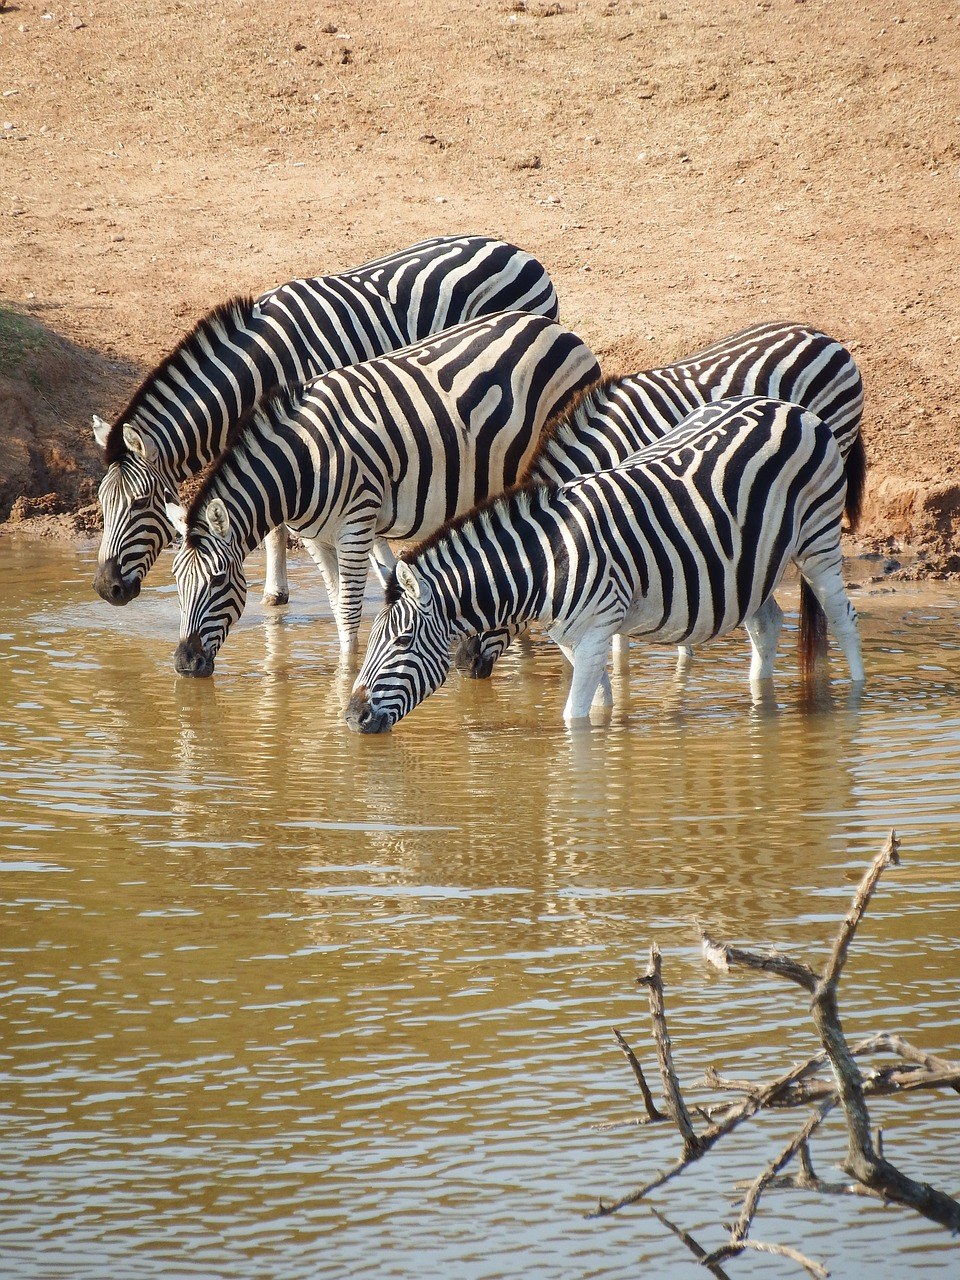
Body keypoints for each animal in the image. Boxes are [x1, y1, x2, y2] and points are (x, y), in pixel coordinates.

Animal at [90, 236, 563, 609]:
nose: (104, 589)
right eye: (101, 502)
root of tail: (519, 251)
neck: (255, 370)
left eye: (140, 504)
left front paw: (282, 590)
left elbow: (283, 525)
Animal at [165, 307, 601, 680]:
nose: (185, 663)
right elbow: (337, 607)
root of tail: (557, 329)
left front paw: (344, 677)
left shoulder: (356, 526)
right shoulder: (315, 538)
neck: (301, 463)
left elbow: (349, 610)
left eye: (218, 580)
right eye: (176, 581)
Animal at [345, 394, 865, 732]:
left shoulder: (597, 629)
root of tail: (791, 408)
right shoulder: (574, 639)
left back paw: (856, 699)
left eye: (403, 641)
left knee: (842, 619)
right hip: (750, 565)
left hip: (818, 539)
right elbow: (598, 707)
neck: (546, 559)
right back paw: (761, 701)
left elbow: (574, 717)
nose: (352, 717)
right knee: (768, 622)